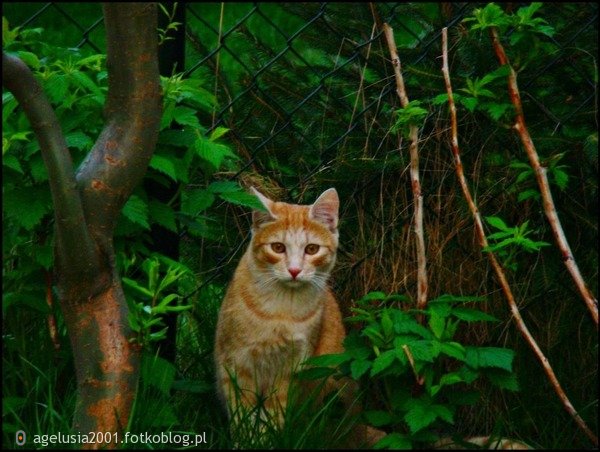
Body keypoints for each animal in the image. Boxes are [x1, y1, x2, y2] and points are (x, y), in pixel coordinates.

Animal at [216, 186, 346, 430]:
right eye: (278, 247)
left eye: (312, 249)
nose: (294, 270)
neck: (281, 311)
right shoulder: (239, 363)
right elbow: (243, 411)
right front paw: (247, 435)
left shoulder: (290, 370)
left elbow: (274, 412)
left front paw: (268, 433)